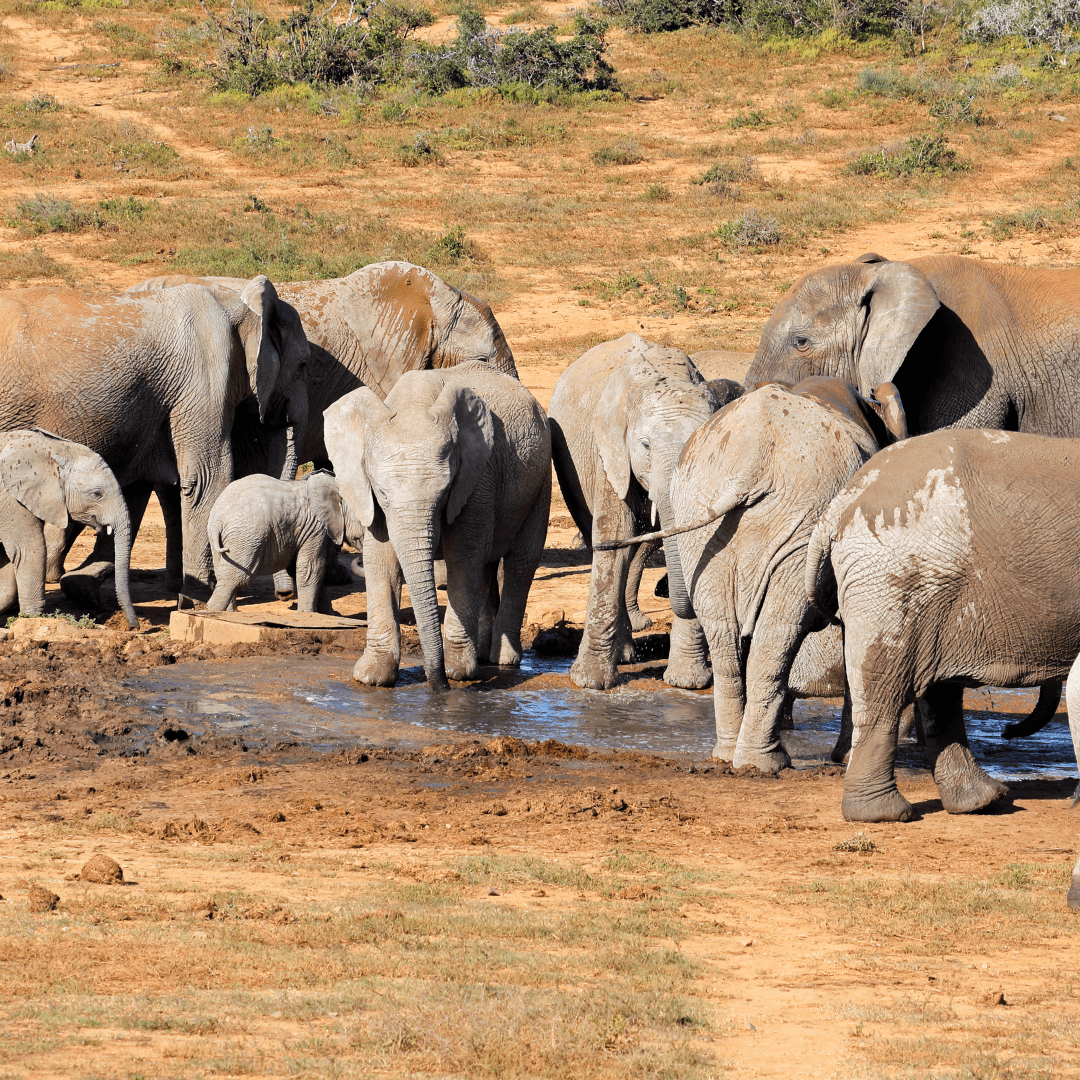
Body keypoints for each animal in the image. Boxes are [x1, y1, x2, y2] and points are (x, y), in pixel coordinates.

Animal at [0, 429, 137, 630]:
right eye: (97, 494)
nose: (134, 626)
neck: (51, 448)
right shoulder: (9, 498)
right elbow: (28, 549)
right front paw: (31, 618)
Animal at [3, 278, 308, 600]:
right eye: (303, 365)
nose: (285, 596)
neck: (234, 297)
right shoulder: (204, 375)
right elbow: (206, 478)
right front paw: (198, 598)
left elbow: (135, 484)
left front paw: (82, 583)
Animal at [206, 468, 349, 613]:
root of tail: (218, 519)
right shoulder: (315, 528)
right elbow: (311, 567)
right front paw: (307, 614)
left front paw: (329, 614)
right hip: (246, 535)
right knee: (237, 577)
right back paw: (214, 611)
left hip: (222, 538)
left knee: (224, 574)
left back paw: (229, 613)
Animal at [807, 425, 1080, 820]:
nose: (1008, 731)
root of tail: (842, 500)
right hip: (896, 577)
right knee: (885, 687)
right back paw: (886, 814)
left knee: (939, 690)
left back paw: (982, 801)